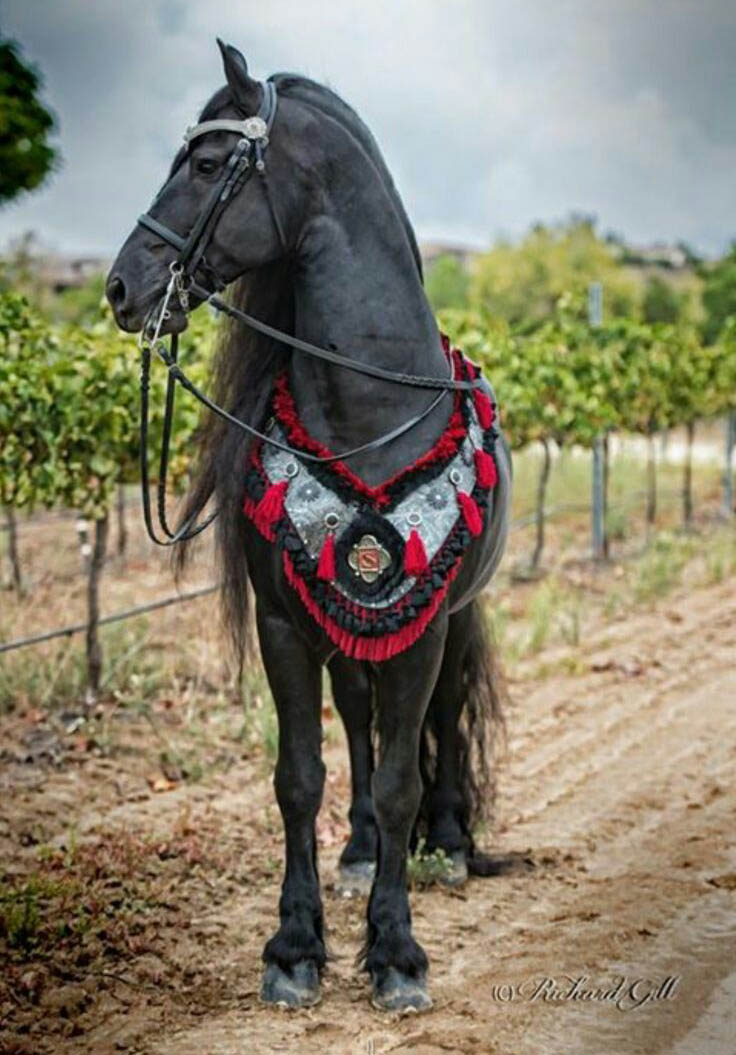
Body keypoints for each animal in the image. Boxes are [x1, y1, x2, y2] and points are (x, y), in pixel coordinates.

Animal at [109, 41, 508, 1012]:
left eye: (207, 164)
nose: (122, 286)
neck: (370, 415)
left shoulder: (424, 627)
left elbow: (402, 777)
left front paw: (397, 952)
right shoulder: (283, 621)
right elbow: (300, 777)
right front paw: (295, 946)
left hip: (446, 617)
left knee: (439, 717)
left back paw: (447, 842)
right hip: (349, 623)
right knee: (357, 720)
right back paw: (361, 852)